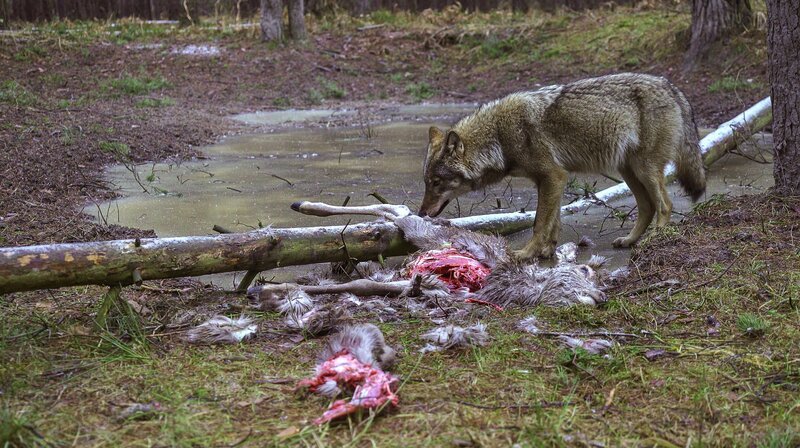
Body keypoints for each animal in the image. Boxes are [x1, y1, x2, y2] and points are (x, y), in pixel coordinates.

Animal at [419, 73, 706, 259]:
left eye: (436, 182)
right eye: (427, 183)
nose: (421, 214)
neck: (498, 137)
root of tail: (671, 87)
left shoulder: (553, 176)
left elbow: (538, 222)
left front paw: (526, 253)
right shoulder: (551, 180)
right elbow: (553, 221)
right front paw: (547, 251)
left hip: (645, 170)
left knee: (664, 205)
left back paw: (654, 239)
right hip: (629, 171)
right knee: (647, 207)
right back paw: (630, 240)